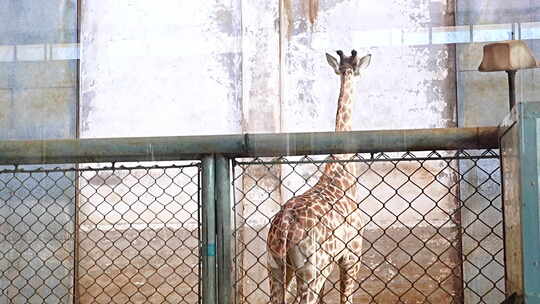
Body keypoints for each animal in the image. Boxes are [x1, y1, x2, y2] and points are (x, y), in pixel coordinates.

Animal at [266, 50, 372, 304]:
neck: (340, 175)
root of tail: (285, 225)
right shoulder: (351, 255)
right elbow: (346, 299)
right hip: (312, 269)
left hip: (276, 266)